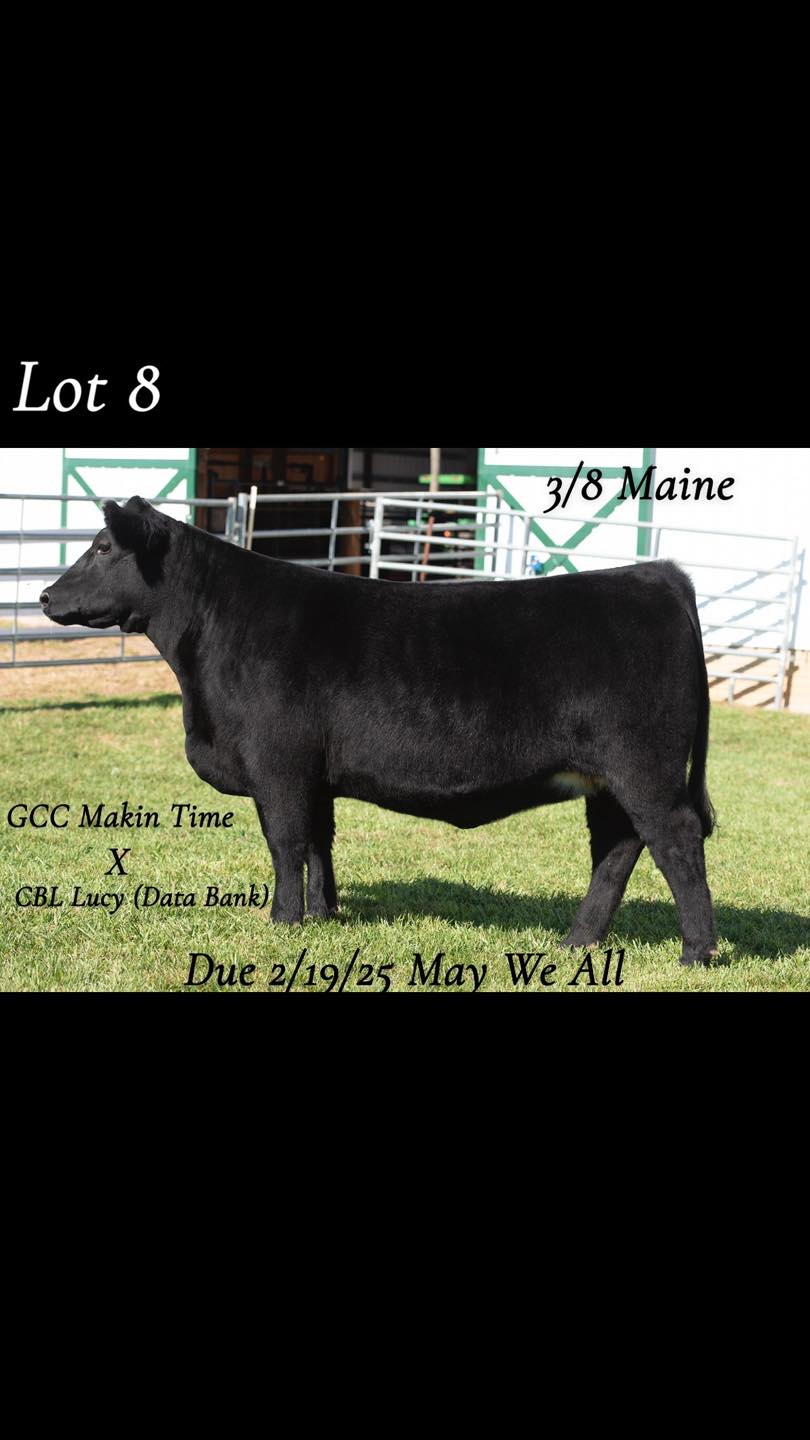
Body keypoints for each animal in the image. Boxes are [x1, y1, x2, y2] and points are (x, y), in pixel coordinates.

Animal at [40, 497, 718, 965]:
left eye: (103, 548)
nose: (45, 596)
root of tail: (656, 575)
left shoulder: (277, 764)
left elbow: (285, 842)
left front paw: (283, 922)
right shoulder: (313, 775)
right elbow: (319, 843)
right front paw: (324, 915)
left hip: (643, 767)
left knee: (676, 840)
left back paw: (697, 952)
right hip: (608, 779)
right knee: (618, 848)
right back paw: (577, 942)